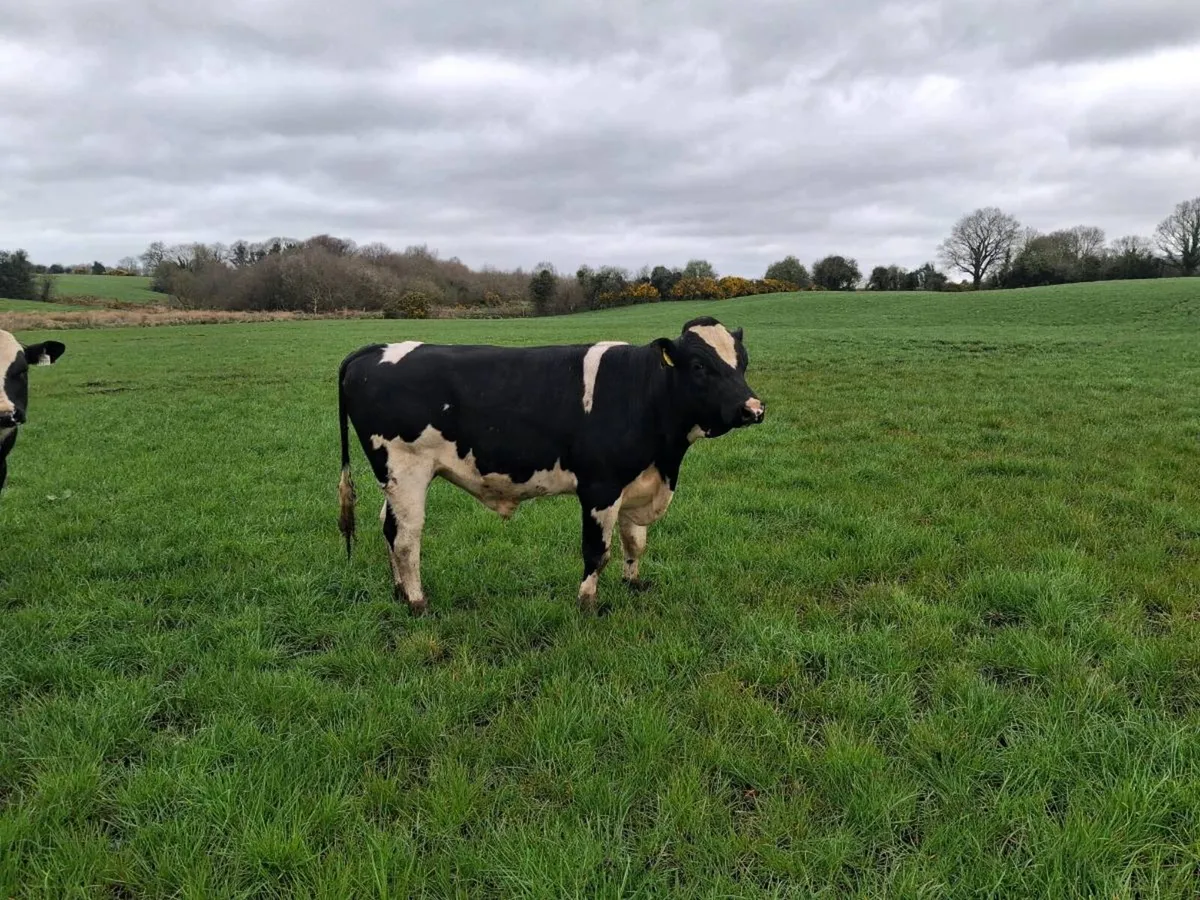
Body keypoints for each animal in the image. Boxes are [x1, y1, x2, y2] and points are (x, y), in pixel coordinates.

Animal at [336, 316, 765, 615]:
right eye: (699, 366)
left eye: (742, 362)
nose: (753, 409)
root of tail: (375, 349)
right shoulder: (600, 486)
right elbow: (597, 551)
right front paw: (587, 604)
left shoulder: (637, 482)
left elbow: (634, 542)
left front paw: (633, 584)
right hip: (406, 470)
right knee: (406, 538)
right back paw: (416, 601)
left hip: (393, 479)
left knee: (387, 526)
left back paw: (398, 591)